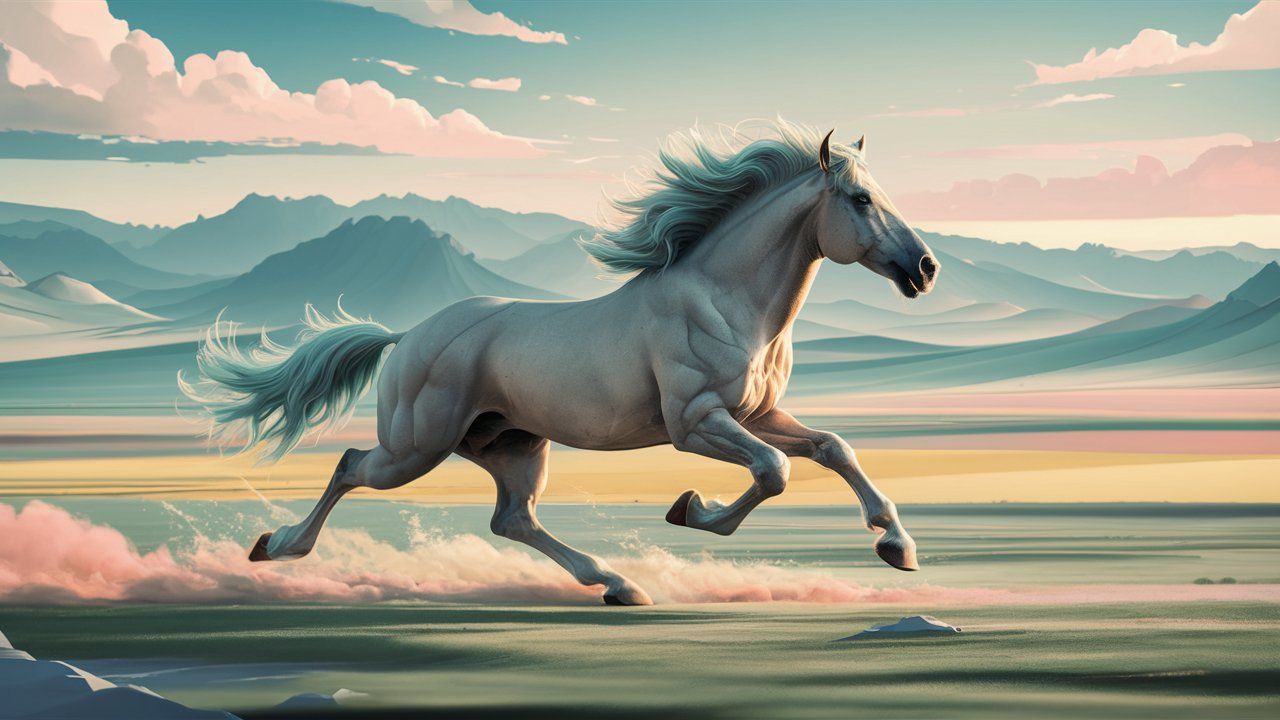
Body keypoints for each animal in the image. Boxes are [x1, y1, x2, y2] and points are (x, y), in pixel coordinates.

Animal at [181, 121, 939, 606]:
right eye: (861, 200)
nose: (925, 268)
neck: (723, 299)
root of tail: (408, 334)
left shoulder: (758, 412)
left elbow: (831, 447)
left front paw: (897, 547)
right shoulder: (696, 422)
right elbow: (775, 471)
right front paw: (690, 509)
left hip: (510, 444)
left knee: (511, 520)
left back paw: (619, 586)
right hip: (415, 447)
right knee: (348, 465)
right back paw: (275, 547)